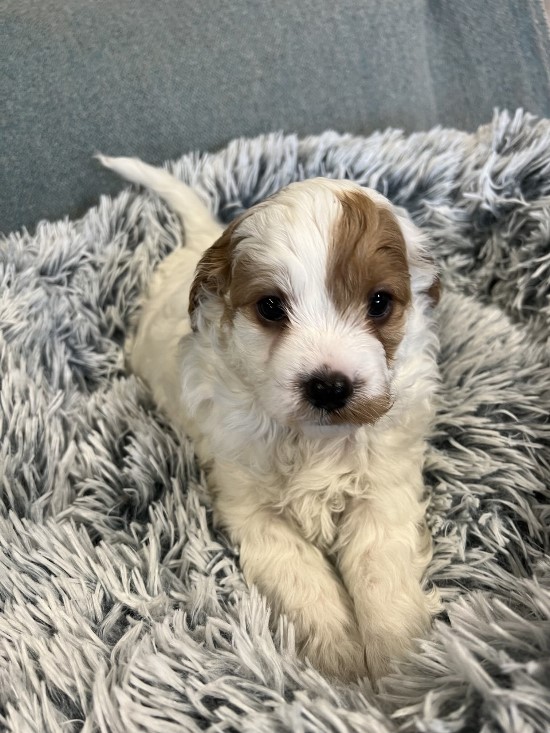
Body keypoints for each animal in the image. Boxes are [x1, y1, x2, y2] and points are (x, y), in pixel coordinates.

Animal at [100, 156, 444, 688]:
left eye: (380, 302)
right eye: (270, 306)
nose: (329, 386)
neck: (315, 441)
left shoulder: (383, 489)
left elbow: (379, 570)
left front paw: (398, 668)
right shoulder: (251, 506)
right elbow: (299, 572)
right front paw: (340, 663)